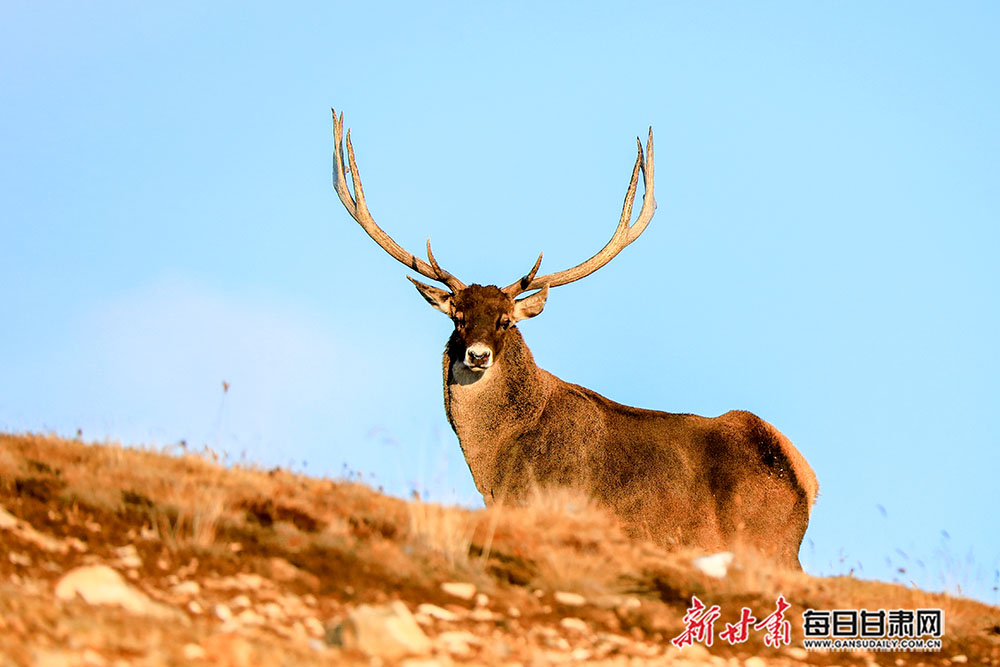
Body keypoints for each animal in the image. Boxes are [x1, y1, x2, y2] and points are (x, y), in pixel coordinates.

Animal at [332, 108, 816, 568]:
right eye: (458, 317)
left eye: (505, 320)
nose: (478, 355)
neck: (495, 462)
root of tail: (805, 479)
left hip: (766, 545)